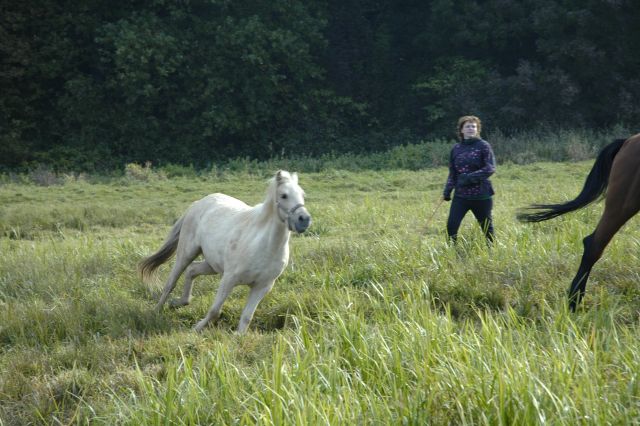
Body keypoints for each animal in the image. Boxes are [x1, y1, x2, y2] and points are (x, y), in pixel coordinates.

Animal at [139, 170, 312, 332]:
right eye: (284, 195)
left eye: (303, 195)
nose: (304, 220)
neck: (263, 246)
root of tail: (197, 203)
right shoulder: (229, 279)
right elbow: (215, 310)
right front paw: (196, 329)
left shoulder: (262, 286)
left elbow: (247, 317)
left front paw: (238, 337)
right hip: (186, 253)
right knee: (171, 282)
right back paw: (157, 310)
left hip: (212, 265)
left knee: (192, 270)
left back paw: (178, 303)